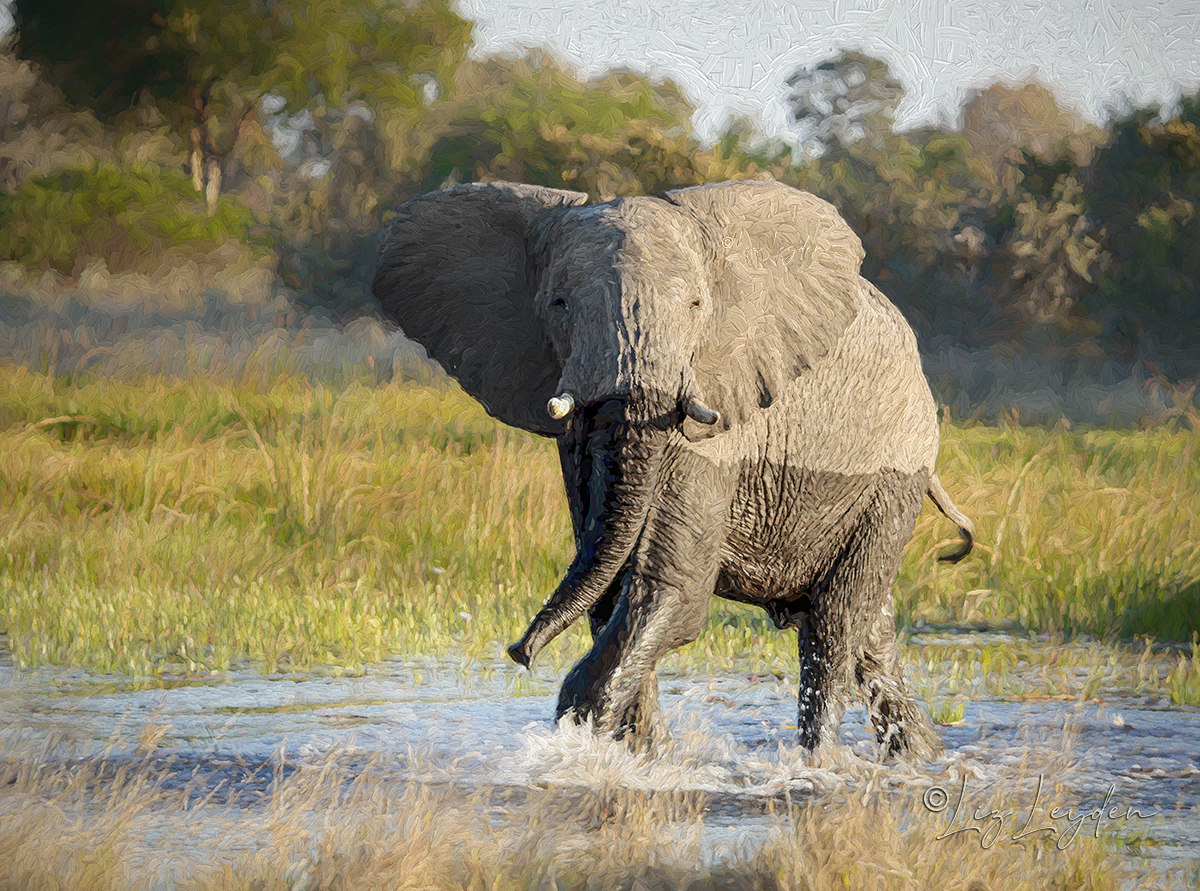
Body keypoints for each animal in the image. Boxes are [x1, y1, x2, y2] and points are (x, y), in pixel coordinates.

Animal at [374, 180, 974, 758]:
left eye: (694, 304)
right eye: (559, 303)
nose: (519, 652)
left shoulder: (716, 413)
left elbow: (669, 591)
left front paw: (580, 743)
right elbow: (611, 587)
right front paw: (639, 757)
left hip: (894, 475)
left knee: (835, 625)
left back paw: (822, 766)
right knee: (871, 636)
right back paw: (918, 758)